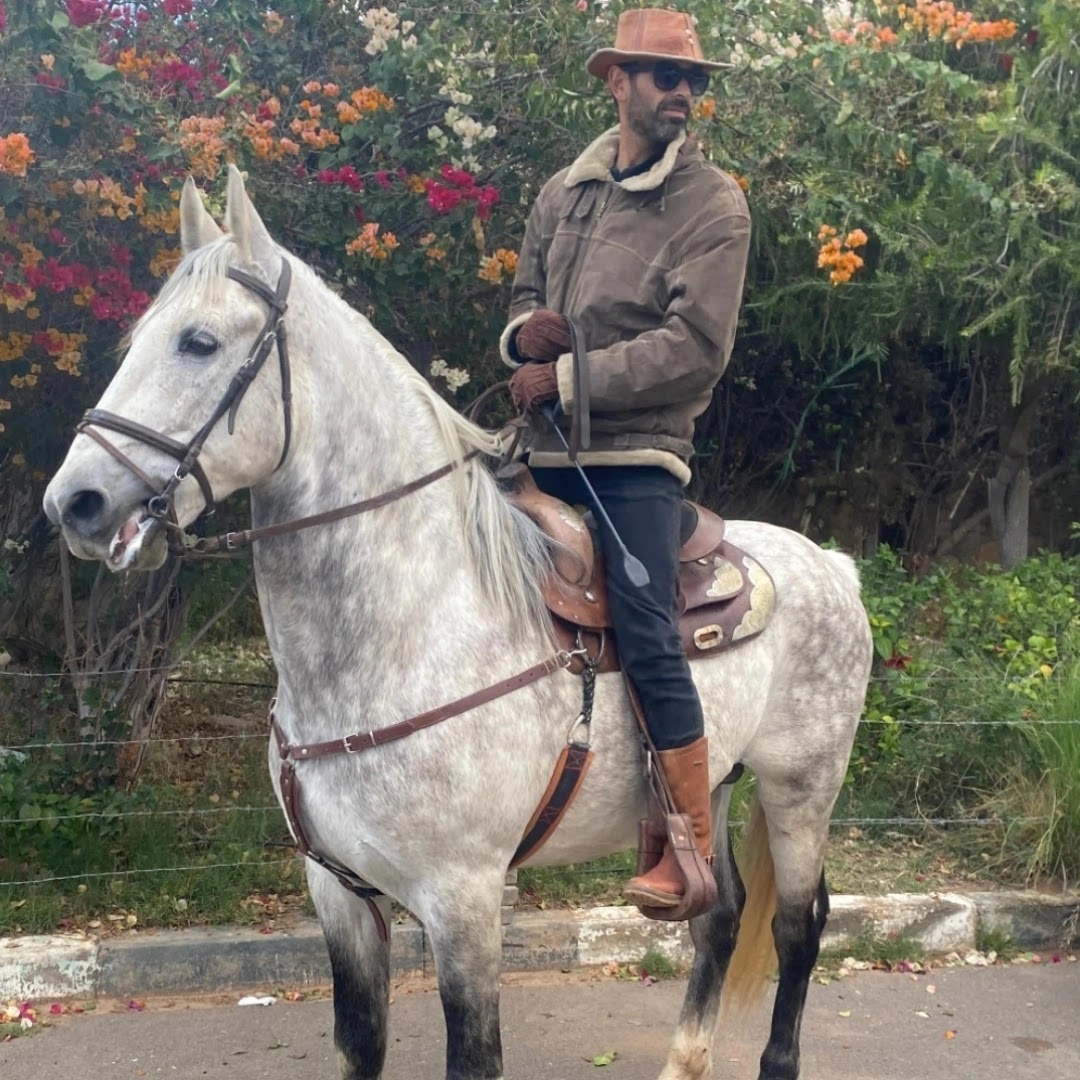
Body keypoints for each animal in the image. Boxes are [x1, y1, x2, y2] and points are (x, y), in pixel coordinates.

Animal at [44, 166, 872, 1080]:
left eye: (199, 342)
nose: (74, 503)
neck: (404, 634)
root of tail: (831, 563)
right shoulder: (336, 892)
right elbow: (359, 1044)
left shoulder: (464, 900)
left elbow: (474, 1056)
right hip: (717, 785)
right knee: (719, 915)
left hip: (803, 788)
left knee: (796, 926)